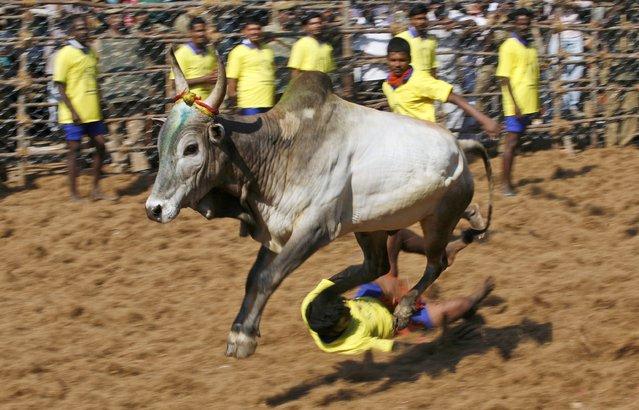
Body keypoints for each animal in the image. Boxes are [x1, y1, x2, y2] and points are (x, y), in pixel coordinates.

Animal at [146, 50, 496, 358]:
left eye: (191, 148)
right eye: (160, 146)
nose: (154, 208)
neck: (276, 150)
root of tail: (459, 146)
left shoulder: (315, 228)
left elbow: (268, 276)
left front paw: (243, 337)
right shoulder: (275, 231)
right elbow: (254, 278)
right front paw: (240, 333)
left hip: (438, 219)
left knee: (436, 262)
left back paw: (405, 308)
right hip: (371, 226)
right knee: (378, 265)